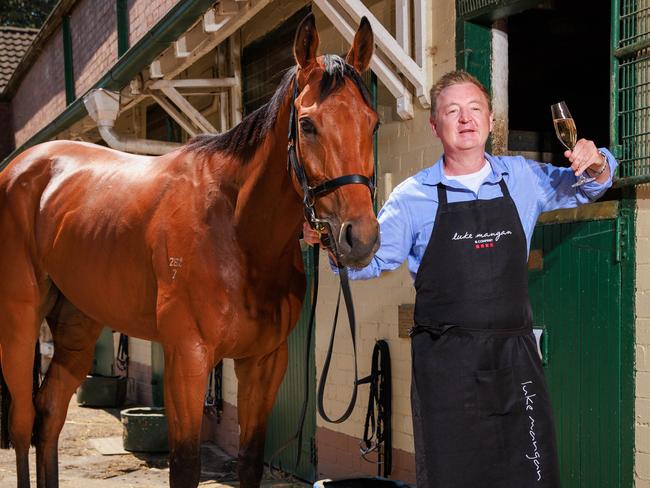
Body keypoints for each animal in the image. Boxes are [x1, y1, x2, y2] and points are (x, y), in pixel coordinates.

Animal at [0, 15, 378, 488]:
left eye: (372, 121)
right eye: (307, 125)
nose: (360, 238)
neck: (235, 231)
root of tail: (22, 167)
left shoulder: (264, 362)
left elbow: (250, 460)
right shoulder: (188, 359)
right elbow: (184, 465)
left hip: (76, 324)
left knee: (49, 414)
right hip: (18, 322)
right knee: (22, 420)